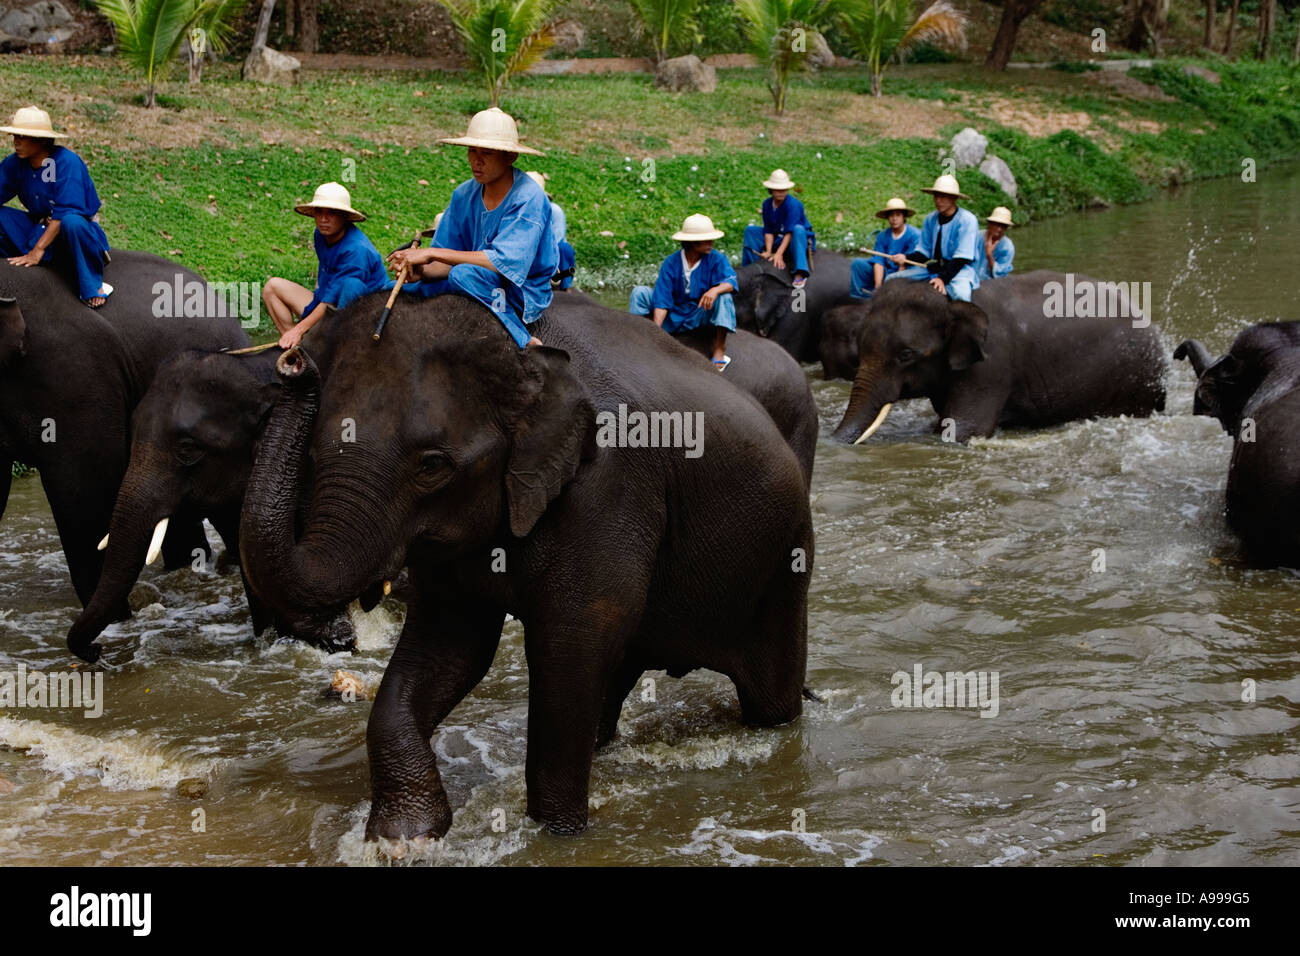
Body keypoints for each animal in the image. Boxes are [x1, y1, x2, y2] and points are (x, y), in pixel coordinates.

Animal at [239, 291, 811, 837]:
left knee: (769, 697)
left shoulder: (609, 488)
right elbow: (451, 646)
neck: (520, 349)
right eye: (314, 456)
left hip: (785, 560)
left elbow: (570, 644)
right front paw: (403, 836)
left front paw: (557, 833)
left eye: (432, 466)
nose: (292, 357)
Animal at [832, 273, 1170, 444]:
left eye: (905, 355)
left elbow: (961, 429)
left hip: (1136, 381)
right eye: (859, 347)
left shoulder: (990, 366)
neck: (950, 302)